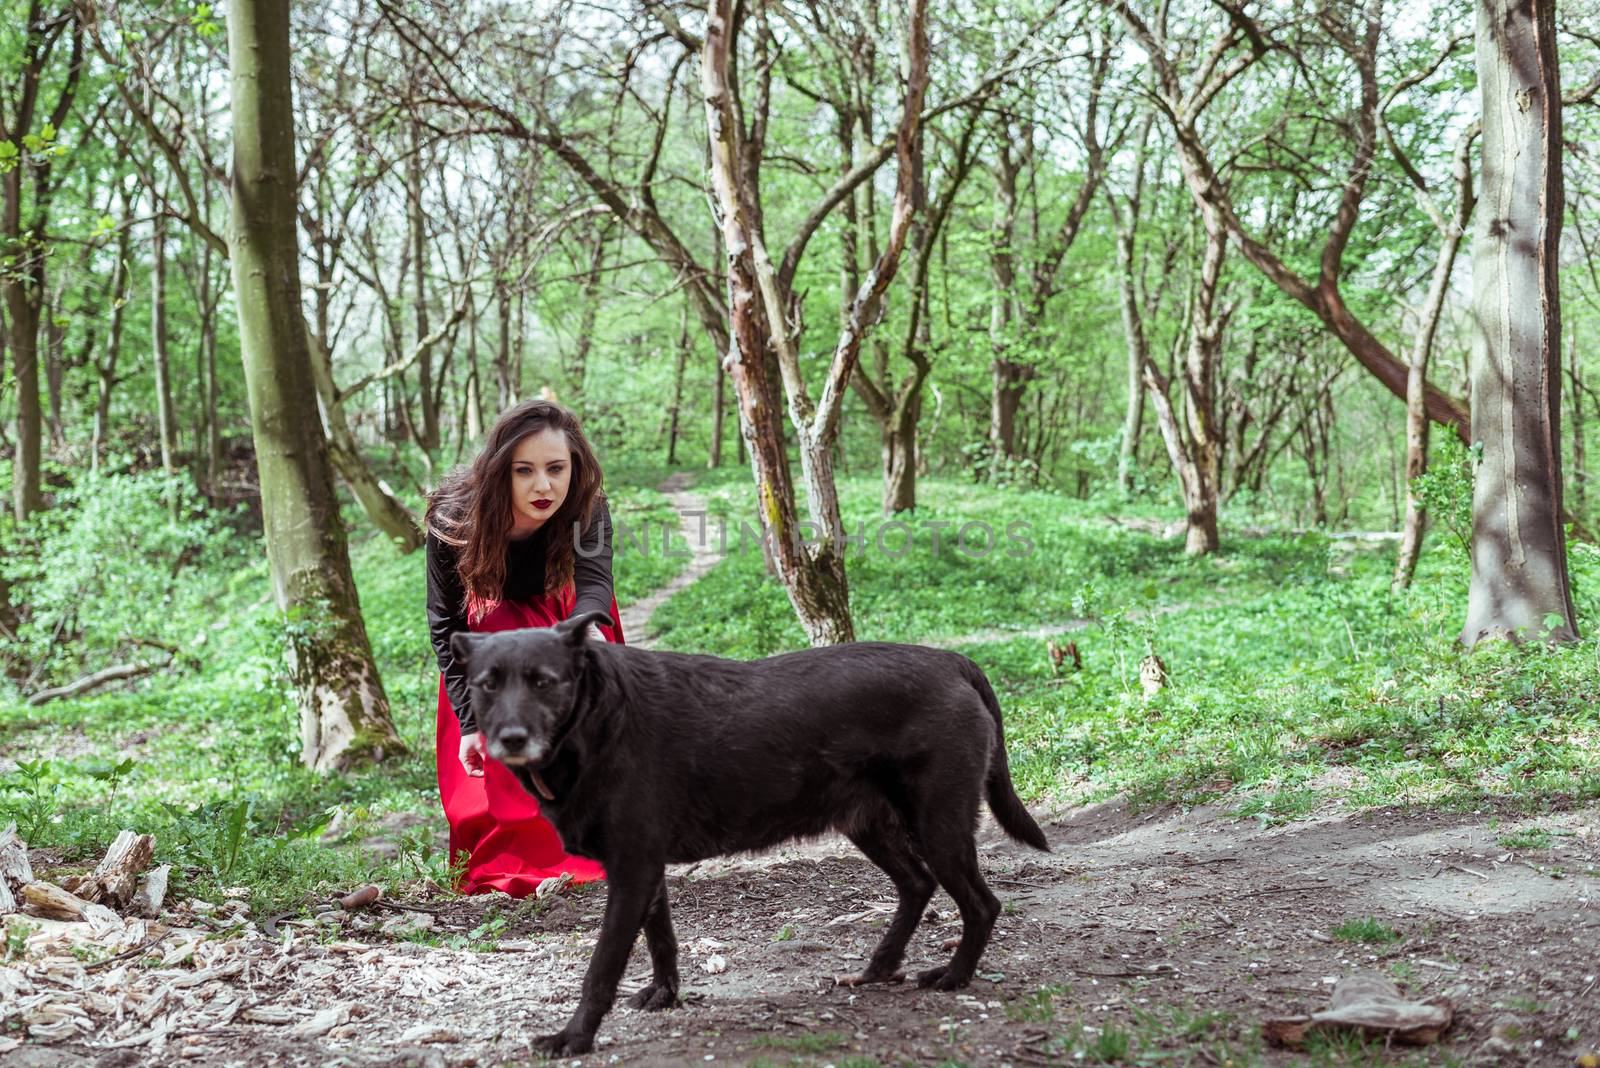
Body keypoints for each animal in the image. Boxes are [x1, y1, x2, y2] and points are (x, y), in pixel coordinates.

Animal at [451, 607, 1049, 1048]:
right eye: (487, 684)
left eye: (543, 682)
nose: (509, 738)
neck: (596, 718)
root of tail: (951, 661)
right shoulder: (646, 870)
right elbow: (662, 939)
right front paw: (664, 996)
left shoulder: (631, 870)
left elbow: (601, 967)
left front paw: (574, 1038)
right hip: (871, 826)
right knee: (918, 885)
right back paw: (880, 967)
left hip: (939, 825)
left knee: (981, 904)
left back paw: (954, 976)